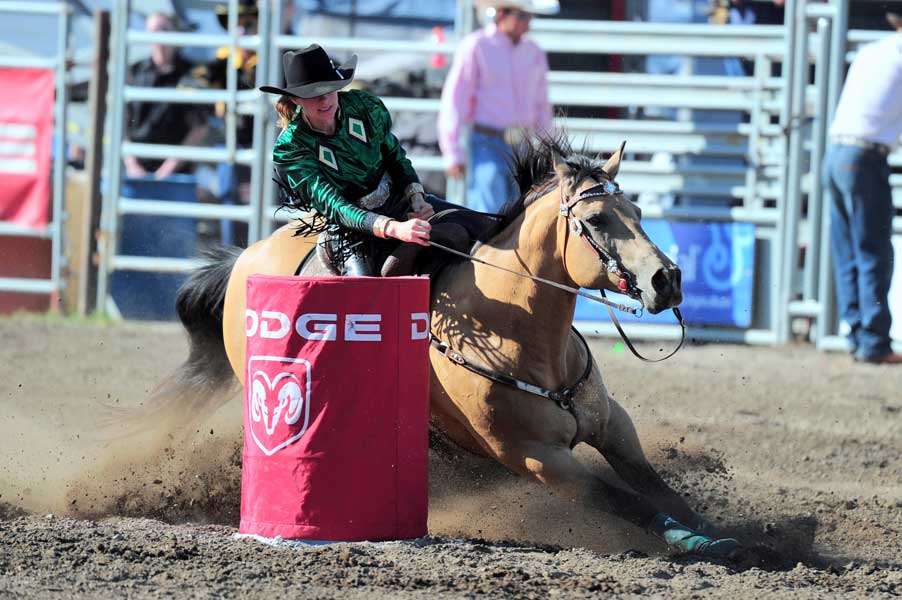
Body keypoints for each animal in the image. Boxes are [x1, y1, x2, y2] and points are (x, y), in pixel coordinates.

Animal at [170, 137, 740, 556]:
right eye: (597, 220)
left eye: (638, 209)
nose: (667, 279)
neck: (524, 340)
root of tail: (249, 254)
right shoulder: (539, 461)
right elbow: (623, 500)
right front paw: (694, 542)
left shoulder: (613, 427)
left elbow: (659, 487)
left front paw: (728, 533)